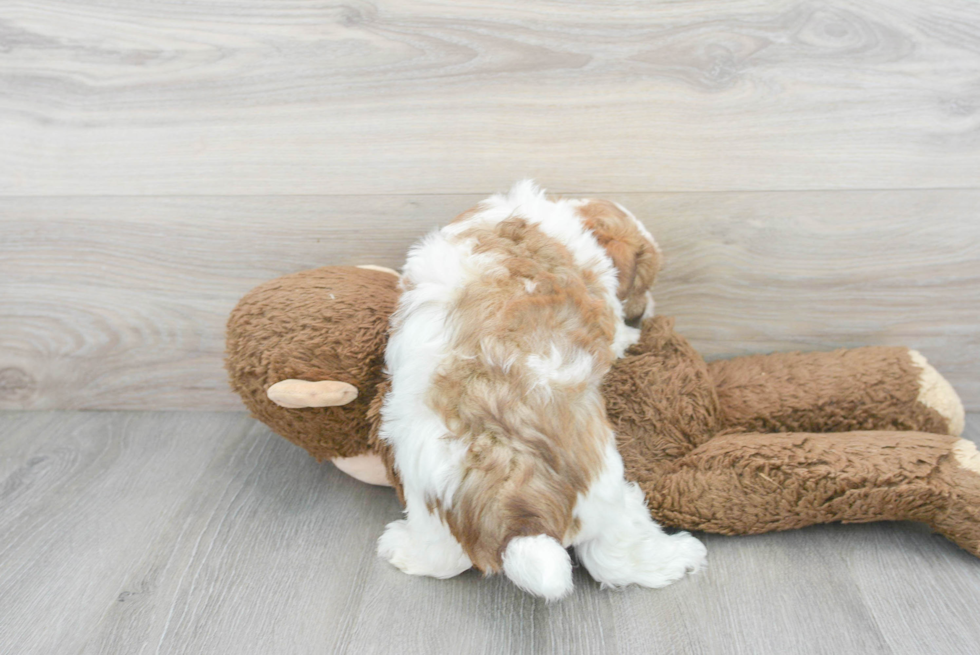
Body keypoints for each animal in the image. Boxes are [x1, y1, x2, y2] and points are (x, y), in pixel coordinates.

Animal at [378, 179, 708, 600]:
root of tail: (515, 509)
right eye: (643, 284)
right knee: (615, 558)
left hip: (428, 495)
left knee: (442, 556)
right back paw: (680, 555)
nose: (647, 310)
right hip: (606, 497)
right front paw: (633, 334)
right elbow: (617, 333)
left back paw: (400, 548)